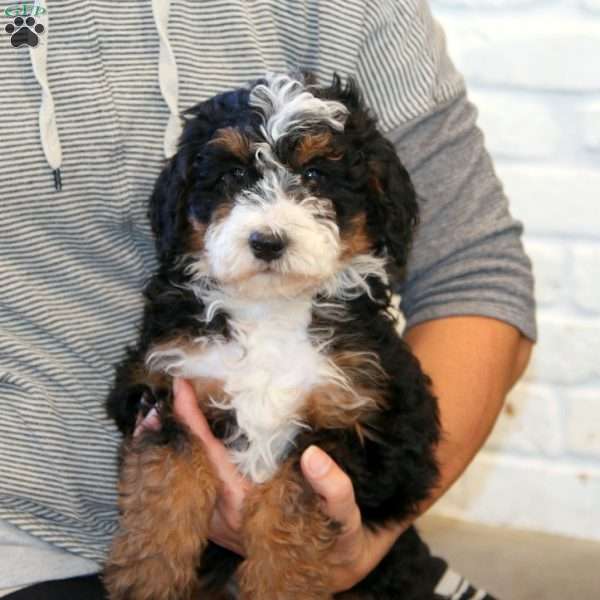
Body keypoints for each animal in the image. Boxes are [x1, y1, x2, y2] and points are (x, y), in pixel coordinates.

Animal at [103, 71, 440, 600]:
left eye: (315, 176)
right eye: (233, 177)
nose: (267, 241)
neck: (270, 309)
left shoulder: (362, 432)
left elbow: (289, 510)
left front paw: (282, 582)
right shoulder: (165, 385)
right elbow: (165, 482)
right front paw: (149, 579)